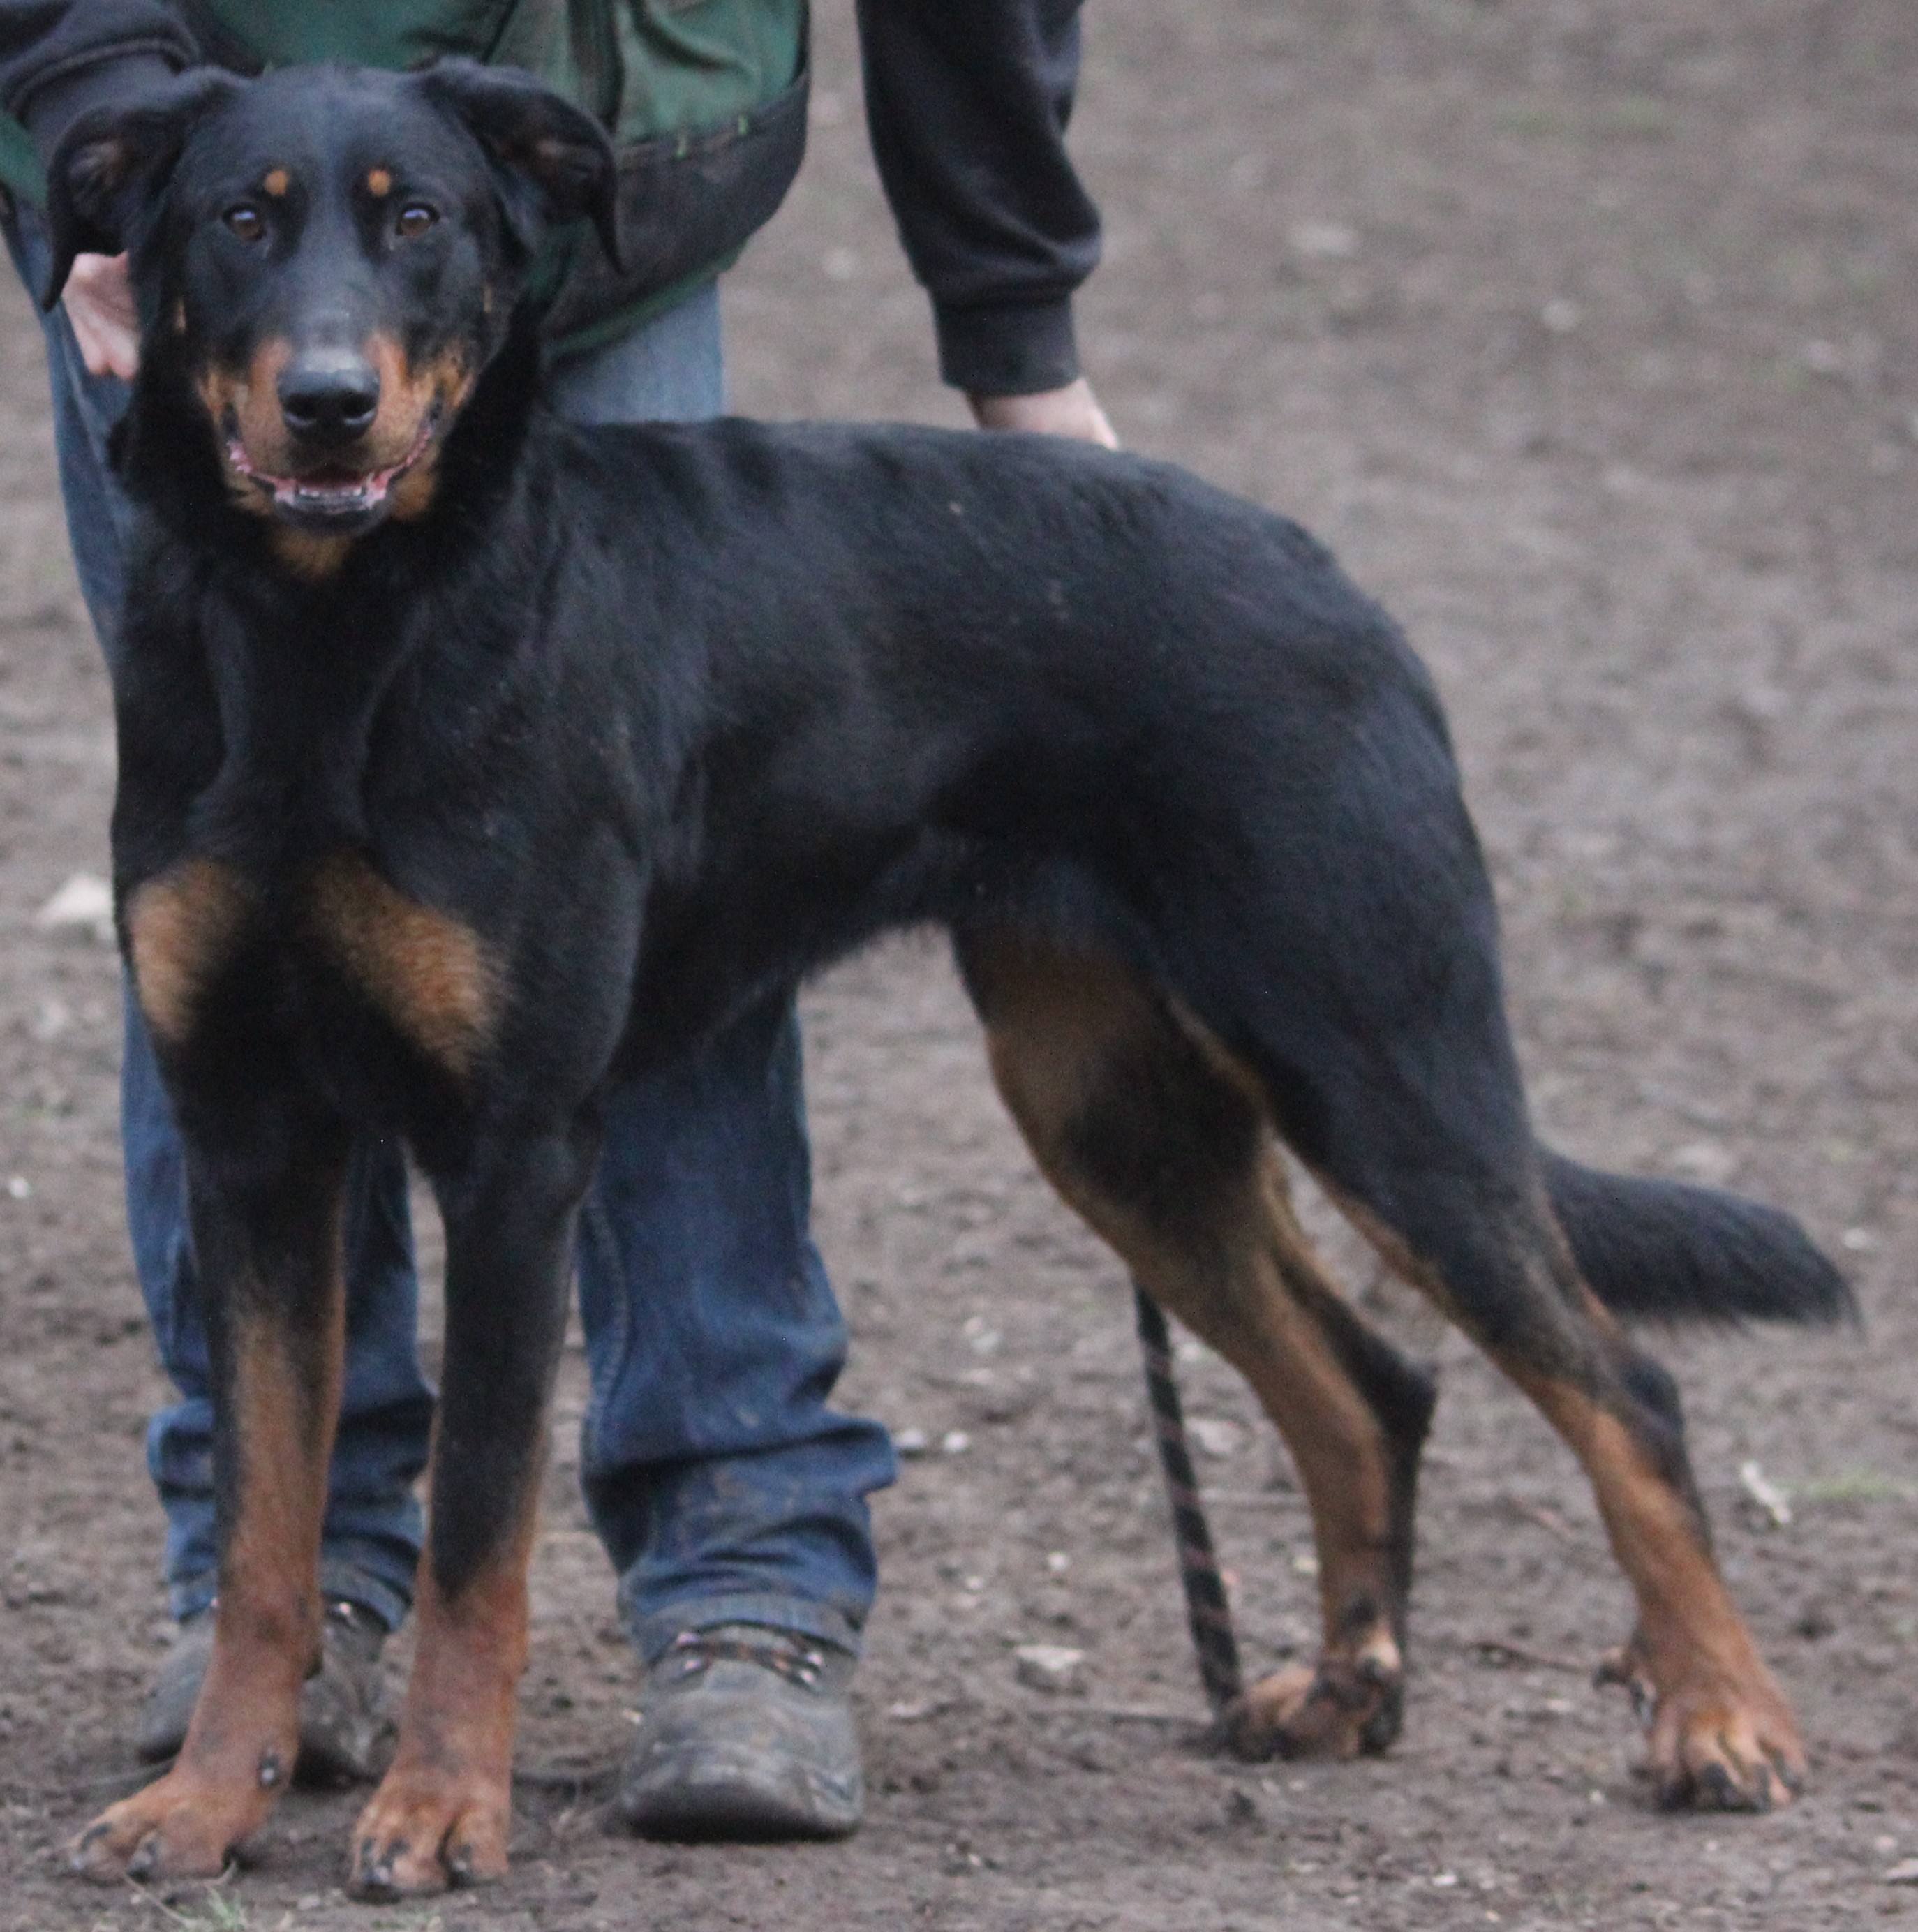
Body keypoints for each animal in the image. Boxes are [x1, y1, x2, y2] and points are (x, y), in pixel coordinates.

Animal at [40, 64, 1838, 1901]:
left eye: (419, 220)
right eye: (239, 220)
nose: (329, 406)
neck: (331, 639)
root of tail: (1337, 585)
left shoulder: (517, 1158)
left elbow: (477, 1533)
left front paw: (441, 1807)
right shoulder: (252, 1140)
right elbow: (264, 1537)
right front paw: (209, 1799)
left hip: (1378, 1068)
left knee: (1625, 1388)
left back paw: (1720, 1719)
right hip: (1119, 1115)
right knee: (1369, 1385)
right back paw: (1348, 1688)